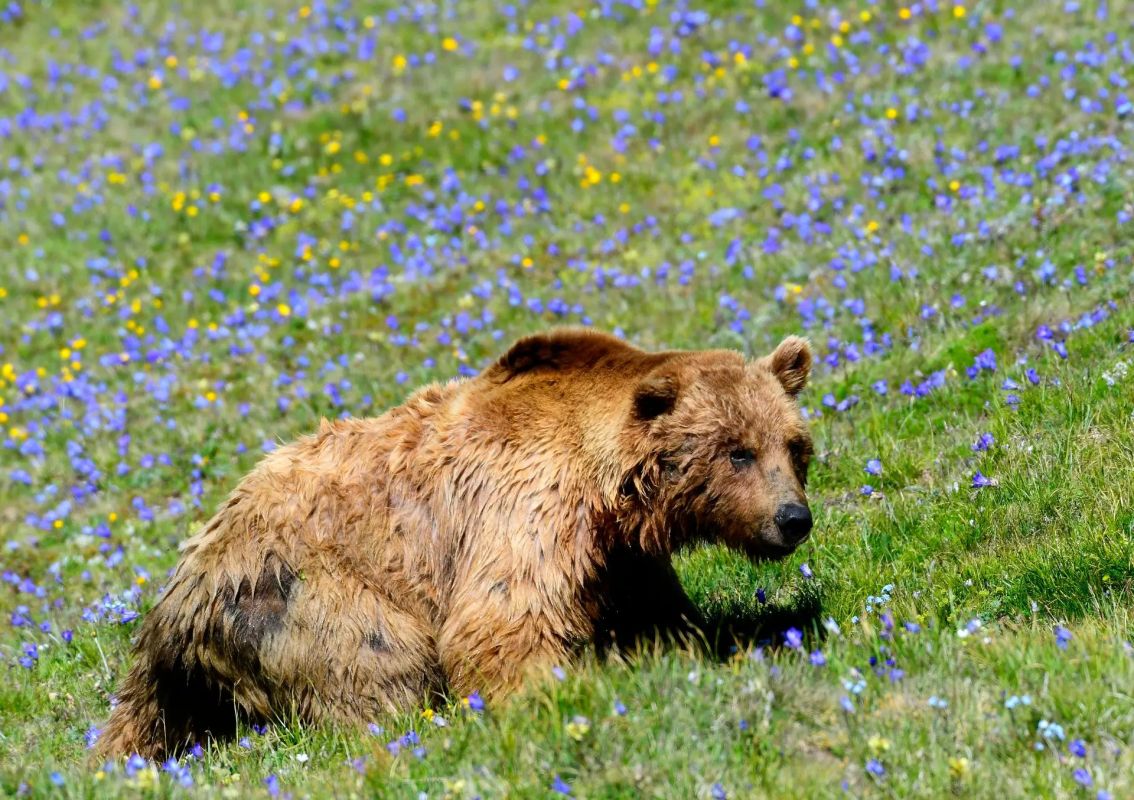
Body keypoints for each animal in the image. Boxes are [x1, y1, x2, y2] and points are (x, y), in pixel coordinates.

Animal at [98, 327, 814, 758]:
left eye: (794, 446)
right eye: (738, 451)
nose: (793, 518)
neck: (609, 485)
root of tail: (176, 597)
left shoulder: (616, 555)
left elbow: (656, 611)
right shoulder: (525, 508)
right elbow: (502, 620)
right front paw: (551, 695)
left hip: (180, 672)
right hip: (300, 597)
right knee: (381, 665)